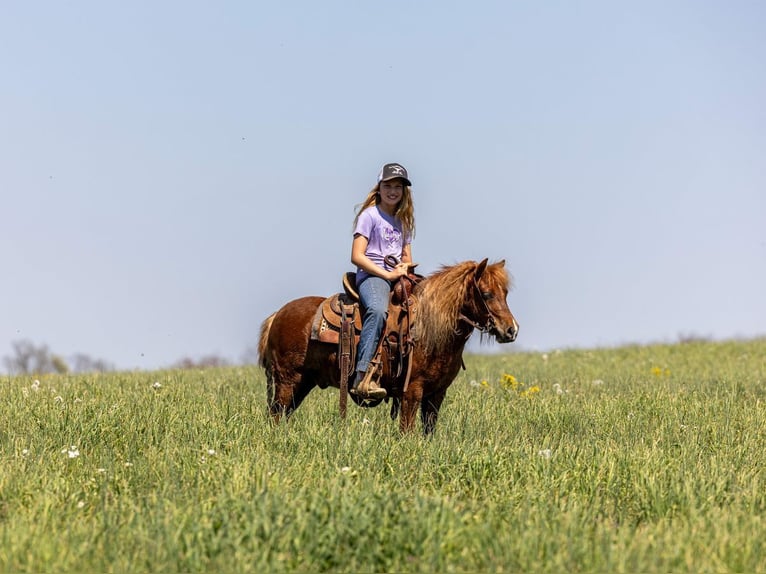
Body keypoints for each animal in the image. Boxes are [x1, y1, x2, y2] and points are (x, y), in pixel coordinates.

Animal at [257, 258, 519, 434]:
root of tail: (277, 315)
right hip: (288, 380)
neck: (430, 328)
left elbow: (428, 432)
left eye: (505, 293)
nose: (511, 330)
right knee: (276, 415)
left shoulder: (436, 393)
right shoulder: (412, 391)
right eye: (486, 294)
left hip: (302, 383)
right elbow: (407, 431)